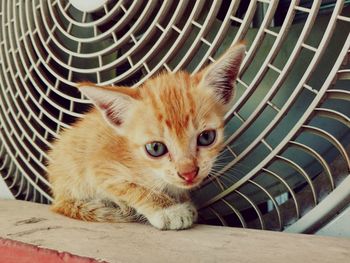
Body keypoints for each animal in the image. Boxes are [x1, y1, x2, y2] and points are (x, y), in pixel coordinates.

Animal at [46, 43, 245, 231]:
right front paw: (168, 209)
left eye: (206, 137)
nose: (188, 173)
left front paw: (182, 200)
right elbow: (134, 188)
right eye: (155, 148)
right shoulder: (99, 169)